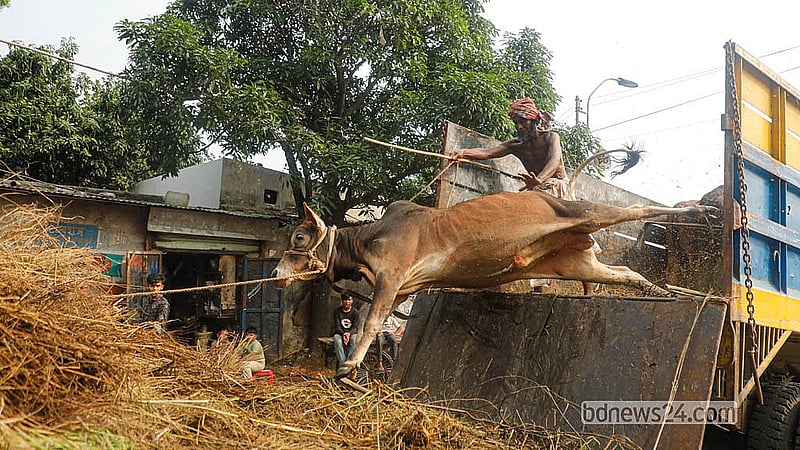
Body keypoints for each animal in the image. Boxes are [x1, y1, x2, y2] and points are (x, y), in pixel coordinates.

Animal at [272, 190, 715, 378]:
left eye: (299, 237)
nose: (275, 275)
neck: (366, 240)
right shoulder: (401, 288)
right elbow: (374, 320)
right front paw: (350, 363)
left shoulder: (392, 276)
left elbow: (369, 324)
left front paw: (349, 365)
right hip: (577, 263)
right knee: (626, 273)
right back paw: (658, 290)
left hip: (587, 213)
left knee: (638, 208)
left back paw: (699, 210)